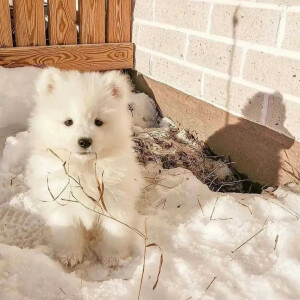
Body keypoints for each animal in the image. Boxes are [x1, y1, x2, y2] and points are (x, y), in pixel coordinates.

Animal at [25, 68, 143, 268]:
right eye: (68, 122)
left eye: (98, 122)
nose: (85, 141)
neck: (84, 168)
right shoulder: (62, 202)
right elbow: (68, 233)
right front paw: (69, 256)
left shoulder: (115, 200)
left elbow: (116, 231)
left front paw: (114, 257)